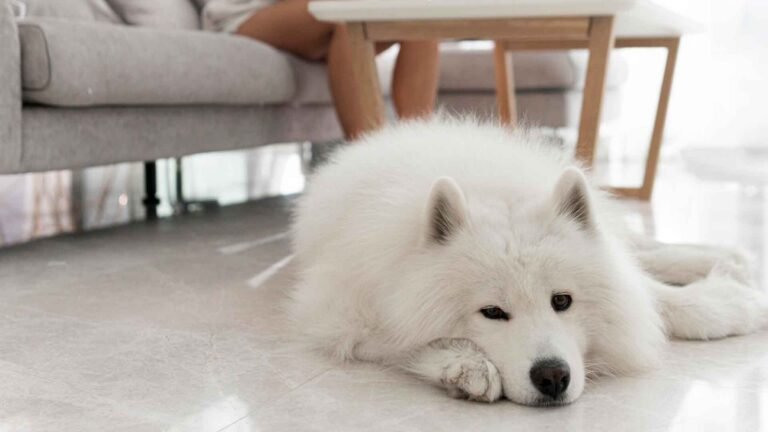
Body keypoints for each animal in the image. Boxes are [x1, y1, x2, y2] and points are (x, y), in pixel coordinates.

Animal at [288, 116, 768, 406]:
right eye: (492, 312)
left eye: (562, 301)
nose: (552, 377)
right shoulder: (340, 312)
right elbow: (403, 341)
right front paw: (465, 366)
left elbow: (653, 297)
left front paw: (728, 304)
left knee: (640, 248)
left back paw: (726, 258)